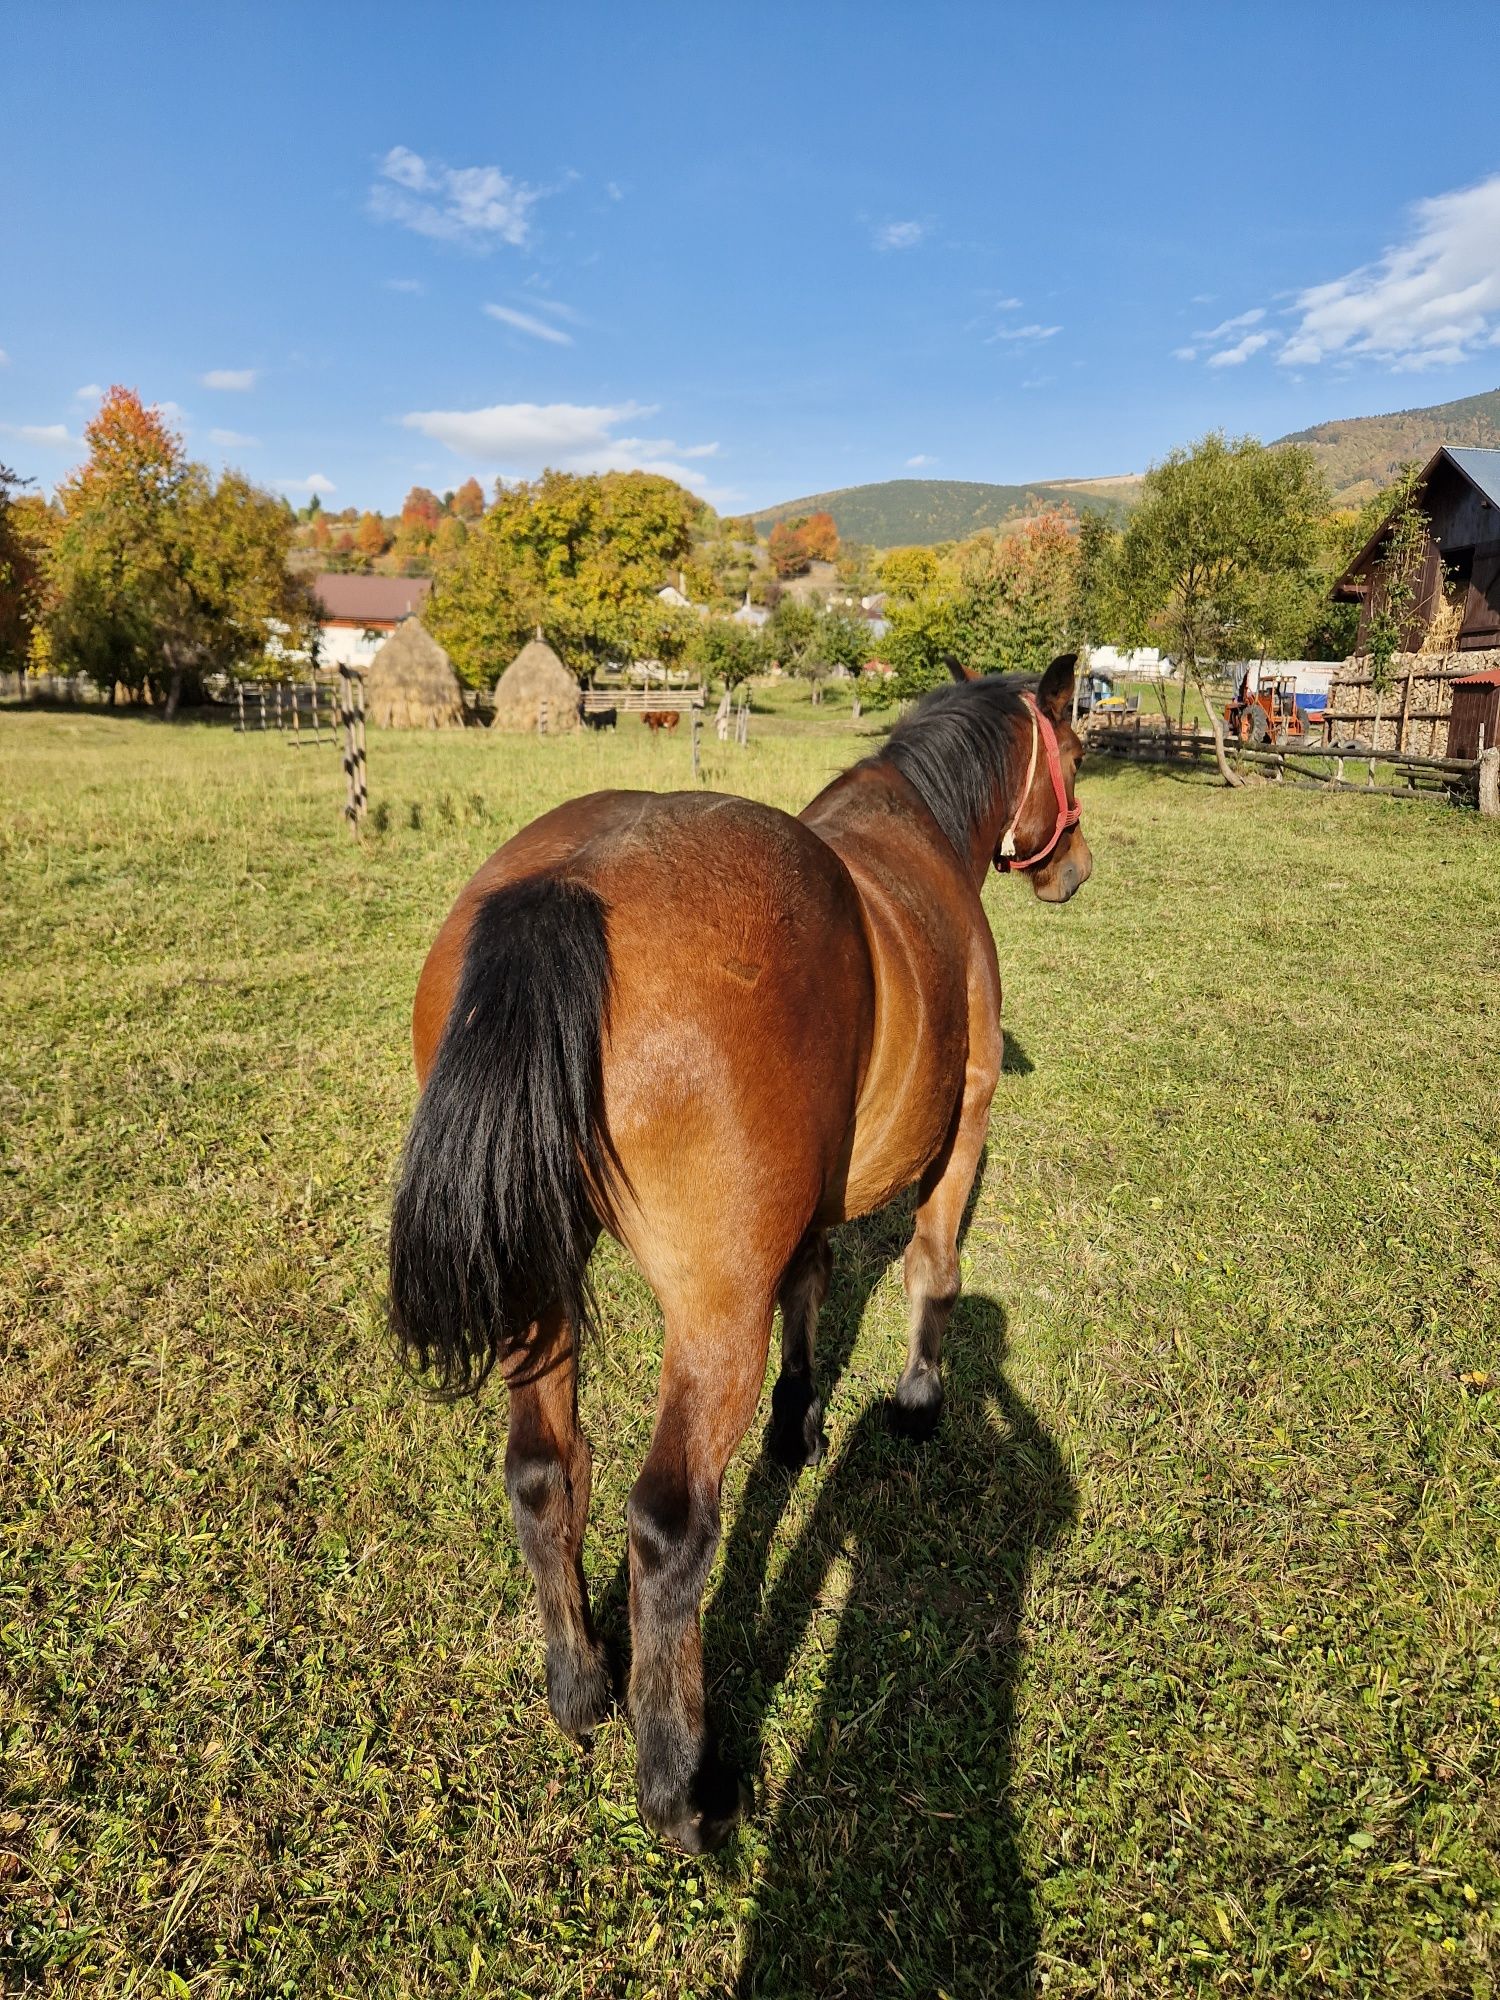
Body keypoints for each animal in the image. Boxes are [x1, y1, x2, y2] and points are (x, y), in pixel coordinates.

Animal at [388, 652, 1096, 1840]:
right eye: (1078, 753)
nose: (1075, 869)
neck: (921, 833)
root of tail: (568, 885)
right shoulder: (967, 1122)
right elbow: (935, 1269)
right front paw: (915, 1401)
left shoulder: (803, 1212)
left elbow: (813, 1282)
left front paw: (799, 1420)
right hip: (712, 1310)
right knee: (669, 1525)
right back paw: (682, 1781)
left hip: (539, 1283)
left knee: (542, 1470)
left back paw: (581, 1684)